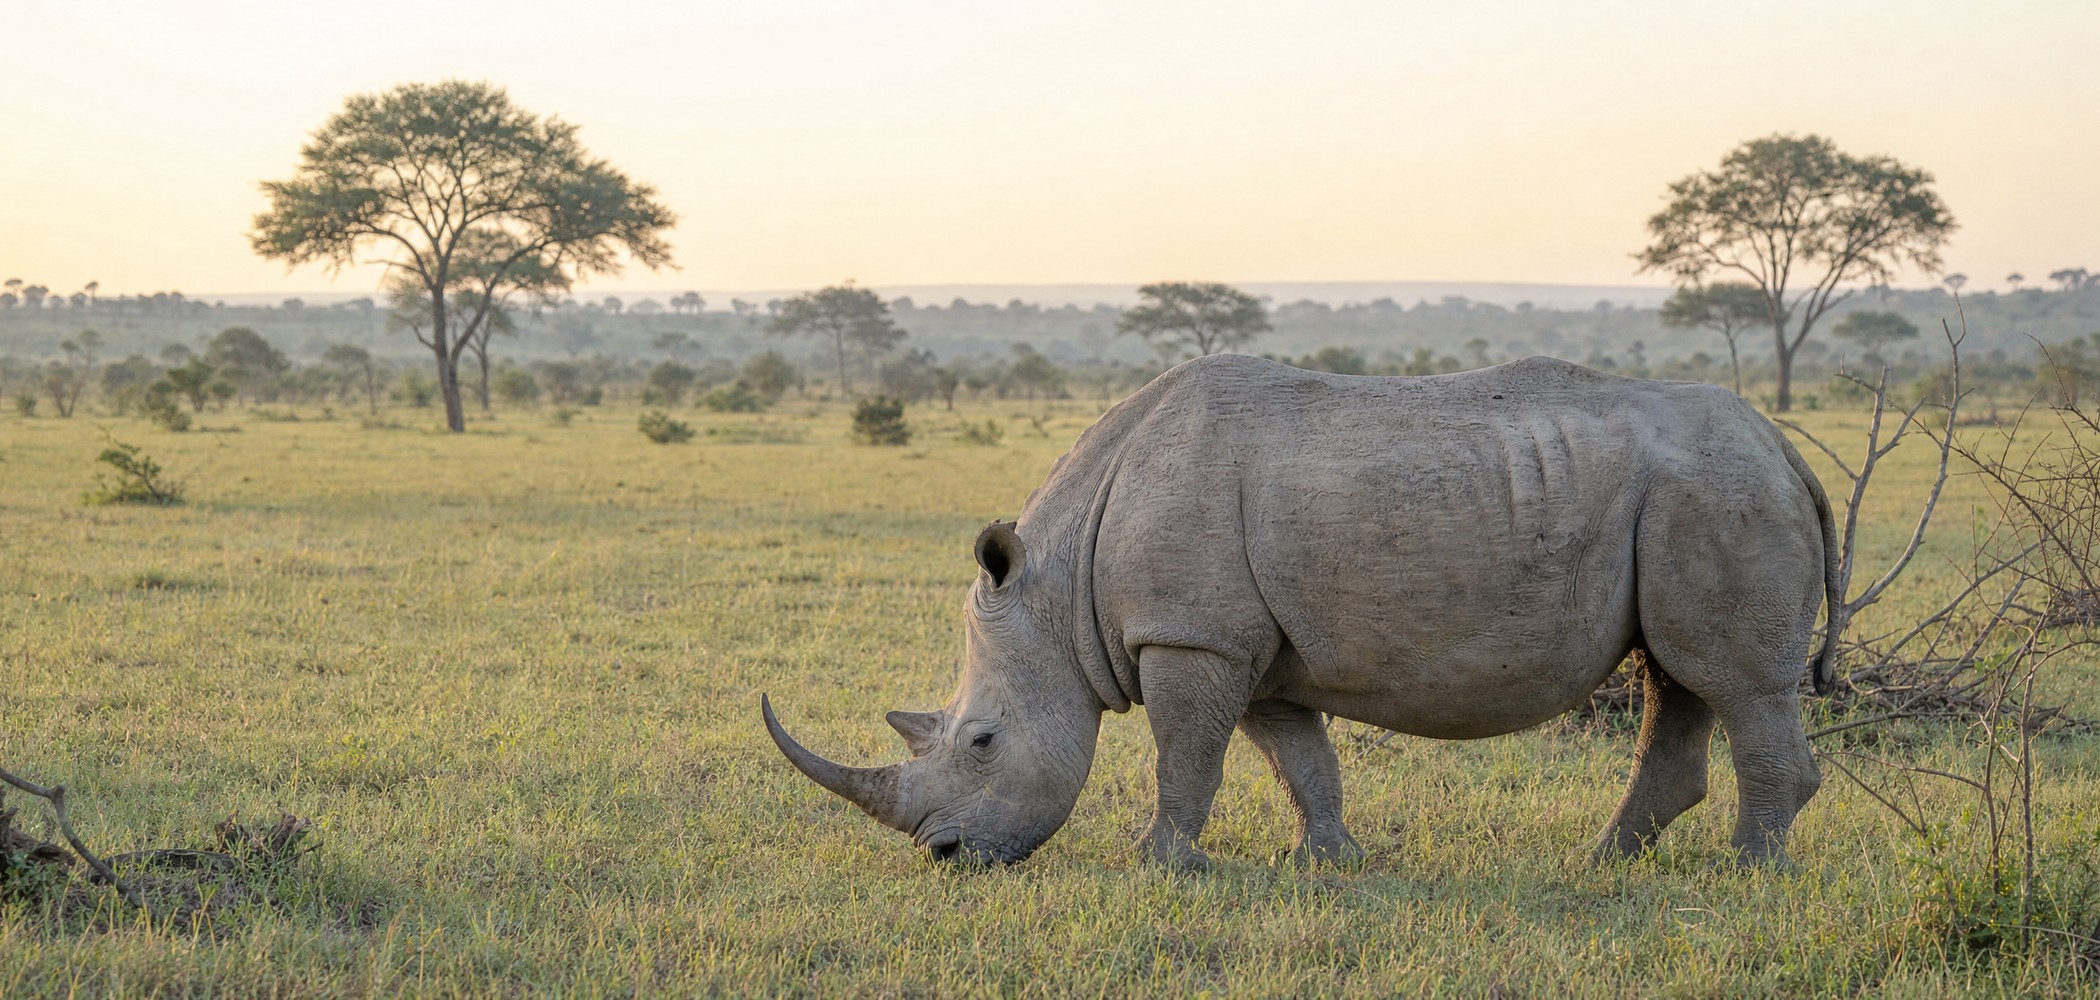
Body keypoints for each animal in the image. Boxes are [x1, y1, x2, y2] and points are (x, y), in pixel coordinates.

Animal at [763, 354, 1838, 869]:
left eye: (982, 742)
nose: (945, 857)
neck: (1058, 590)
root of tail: (1787, 447)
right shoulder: (1250, 646)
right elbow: (1296, 758)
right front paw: (1326, 862)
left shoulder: (1189, 634)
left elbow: (1185, 758)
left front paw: (1160, 866)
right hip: (1694, 497)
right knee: (1679, 676)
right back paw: (1608, 861)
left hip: (1720, 491)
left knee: (1732, 683)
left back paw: (1748, 873)